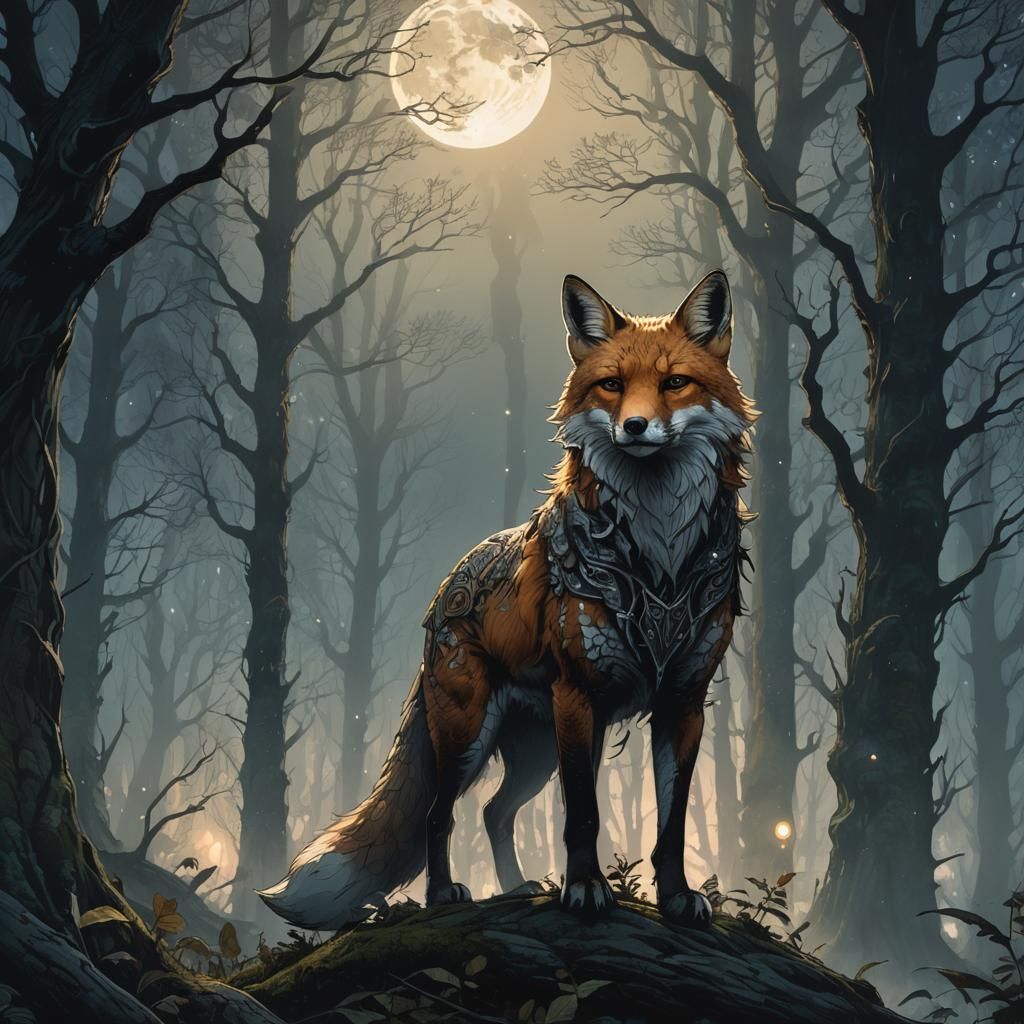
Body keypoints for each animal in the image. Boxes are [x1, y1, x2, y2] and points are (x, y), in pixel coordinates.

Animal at [258, 269, 756, 931]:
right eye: (612, 385)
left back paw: (518, 887)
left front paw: (676, 897)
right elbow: (583, 816)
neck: (658, 564)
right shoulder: (579, 695)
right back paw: (445, 893)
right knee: (437, 814)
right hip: (474, 736)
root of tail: (444, 590)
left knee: (495, 812)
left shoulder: (683, 702)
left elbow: (670, 825)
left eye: (675, 383)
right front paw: (585, 889)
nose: (635, 428)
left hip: (536, 752)